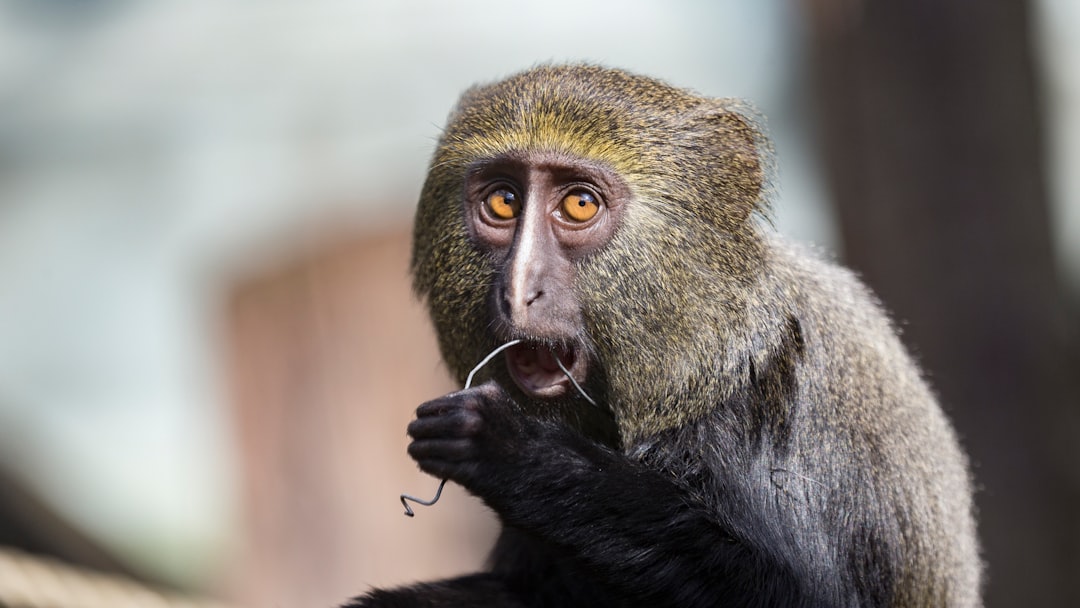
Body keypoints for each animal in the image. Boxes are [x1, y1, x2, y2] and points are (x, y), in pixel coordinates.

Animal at [341, 65, 984, 608]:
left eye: (579, 204)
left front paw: (511, 450)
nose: (520, 289)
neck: (699, 349)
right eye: (503, 201)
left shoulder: (750, 418)